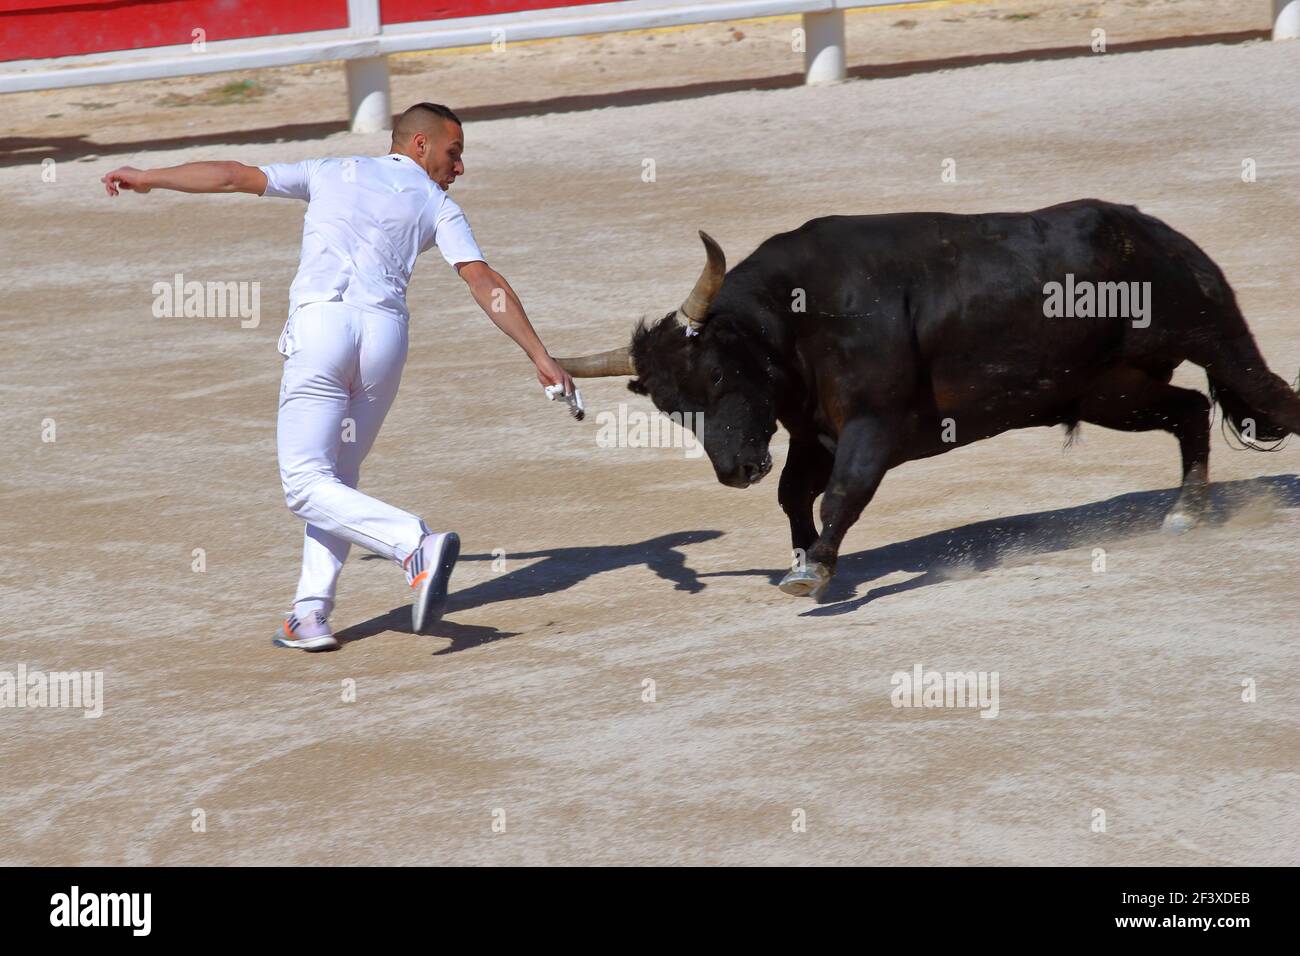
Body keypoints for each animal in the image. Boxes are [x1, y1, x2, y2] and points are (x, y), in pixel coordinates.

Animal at [561, 199, 1300, 598]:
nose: (736, 470)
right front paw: (805, 558)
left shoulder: (874, 426)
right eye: (669, 407)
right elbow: (795, 494)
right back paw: (1185, 513)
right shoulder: (811, 434)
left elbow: (840, 493)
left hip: (1212, 335)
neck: (795, 321)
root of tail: (1154, 230)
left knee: (1273, 399)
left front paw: (813, 570)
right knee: (1190, 410)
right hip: (1108, 390)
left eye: (715, 376)